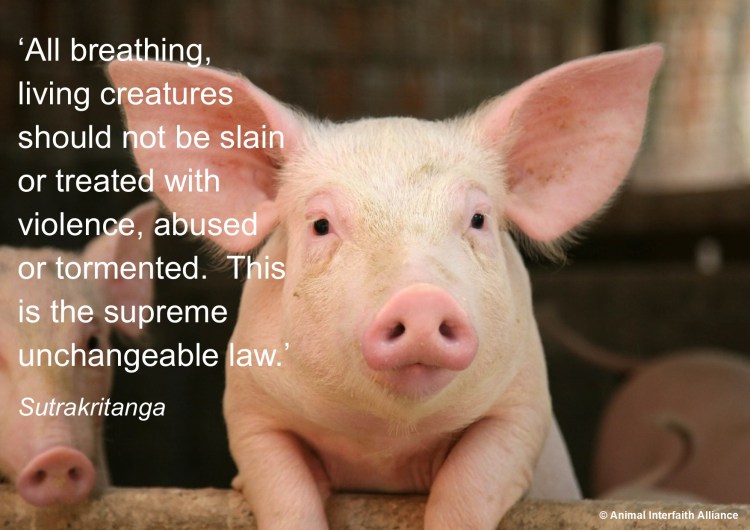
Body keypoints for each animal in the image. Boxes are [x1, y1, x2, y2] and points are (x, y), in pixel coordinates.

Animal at [108, 45, 663, 528]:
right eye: (321, 225)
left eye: (478, 219)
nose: (420, 300)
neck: (385, 443)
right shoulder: (249, 408)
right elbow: (282, 489)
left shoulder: (524, 405)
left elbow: (471, 483)